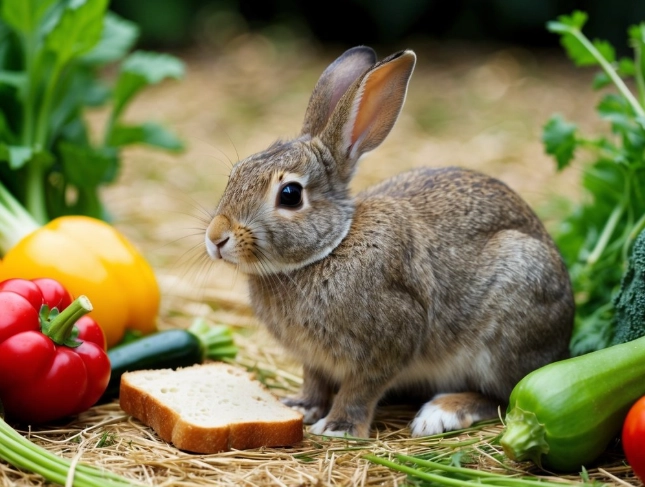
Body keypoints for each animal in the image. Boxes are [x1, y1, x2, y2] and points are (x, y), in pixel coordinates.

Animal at [204, 46, 574, 438]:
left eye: (290, 194)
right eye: (236, 173)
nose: (216, 238)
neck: (328, 249)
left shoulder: (391, 340)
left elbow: (361, 388)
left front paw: (337, 426)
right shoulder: (313, 360)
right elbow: (314, 381)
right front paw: (301, 407)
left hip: (509, 319)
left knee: (505, 393)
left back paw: (440, 413)